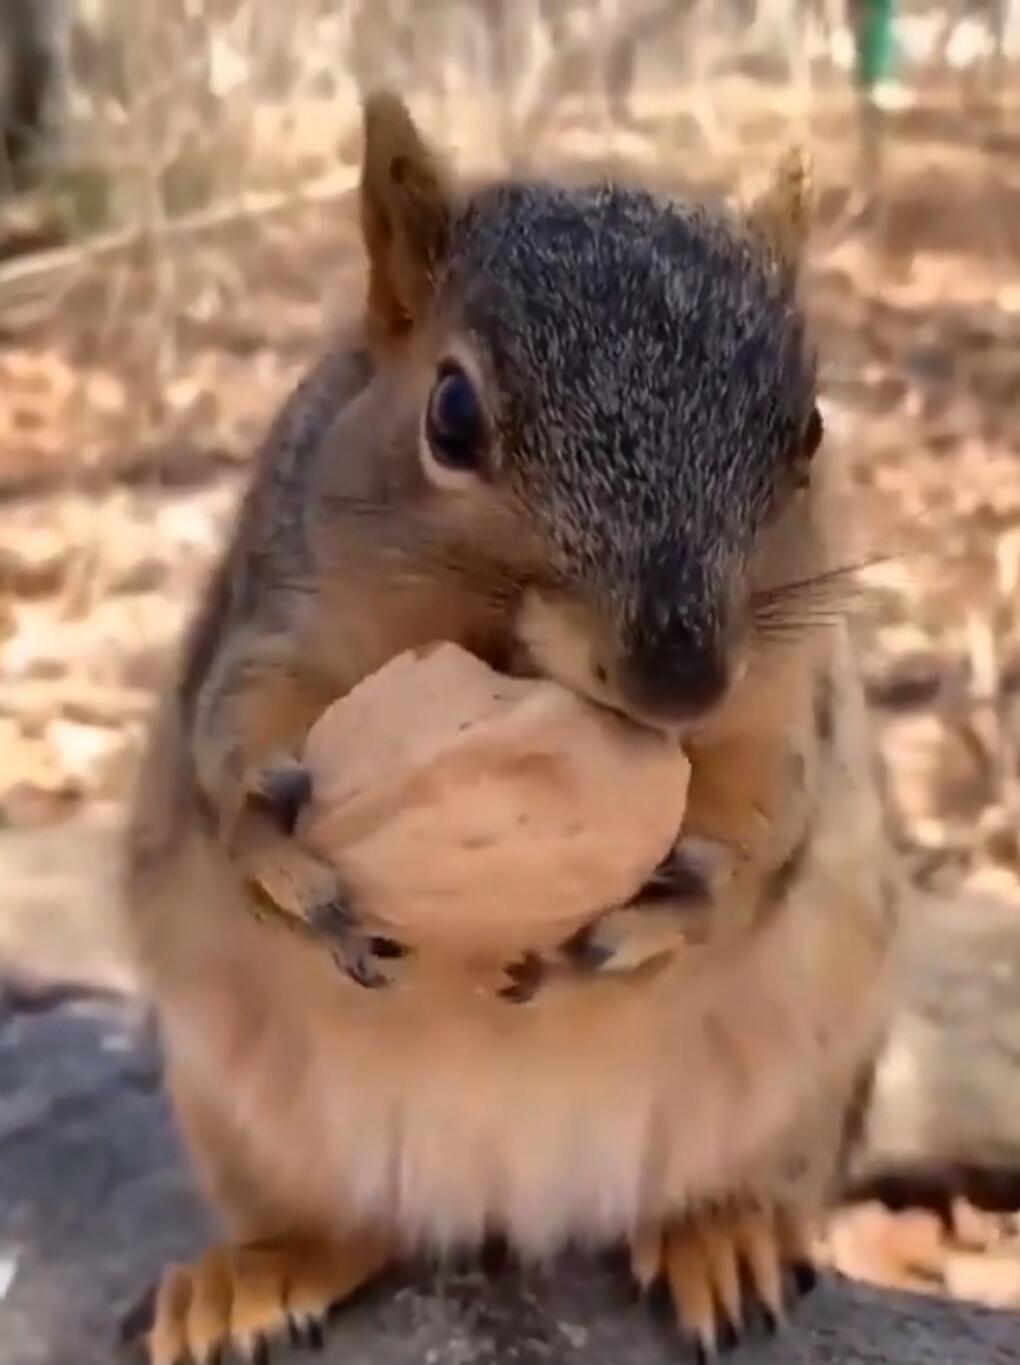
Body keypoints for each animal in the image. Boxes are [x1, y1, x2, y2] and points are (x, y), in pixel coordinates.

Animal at [123, 90, 900, 1365]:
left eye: (810, 431)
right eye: (451, 415)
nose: (681, 675)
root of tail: (507, 1205)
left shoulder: (789, 693)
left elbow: (767, 806)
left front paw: (679, 902)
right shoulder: (276, 617)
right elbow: (234, 733)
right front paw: (278, 856)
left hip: (811, 1085)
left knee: (744, 1186)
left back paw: (722, 1233)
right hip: (240, 1116)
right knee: (344, 1228)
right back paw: (262, 1271)